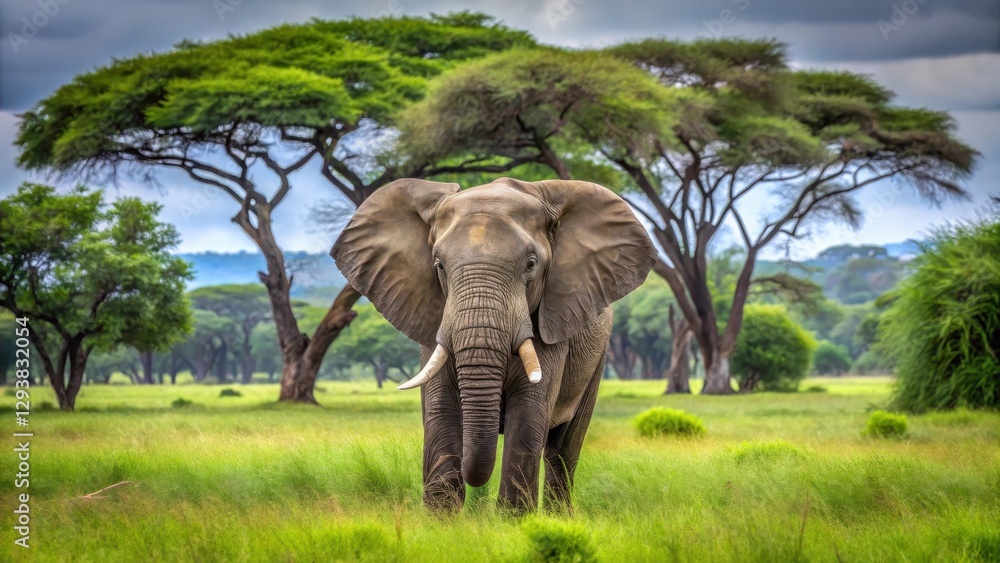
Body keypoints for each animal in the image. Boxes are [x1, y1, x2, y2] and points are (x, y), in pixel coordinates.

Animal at [331, 177, 655, 513]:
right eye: (439, 266)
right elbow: (441, 409)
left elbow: (528, 412)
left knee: (563, 450)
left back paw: (558, 516)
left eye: (531, 264)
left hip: (598, 355)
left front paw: (514, 519)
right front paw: (440, 518)